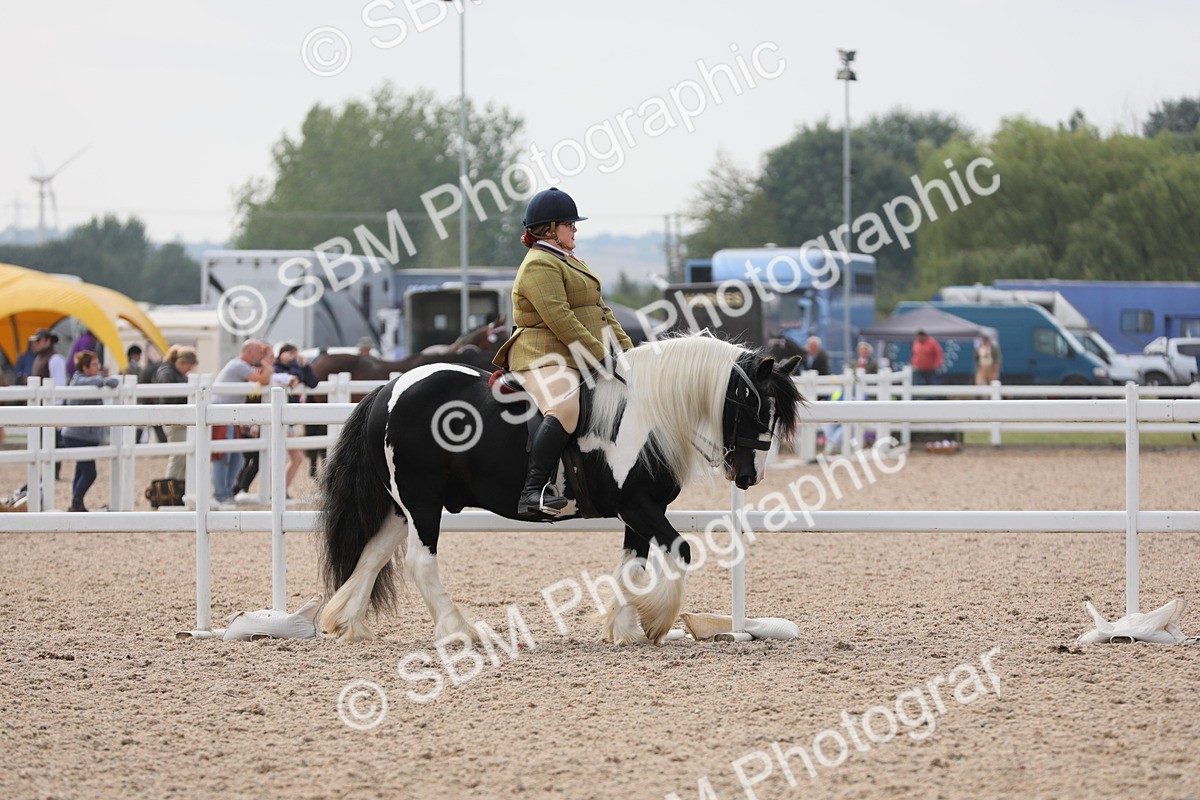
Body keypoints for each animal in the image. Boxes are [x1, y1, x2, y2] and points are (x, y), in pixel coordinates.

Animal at [316, 333, 804, 645]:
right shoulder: (638, 505)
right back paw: (459, 632)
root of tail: (388, 388)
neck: (645, 414)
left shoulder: (638, 512)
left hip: (403, 507)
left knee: (373, 554)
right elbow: (680, 550)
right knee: (420, 563)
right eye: (756, 407)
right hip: (422, 503)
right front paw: (656, 621)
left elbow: (632, 567)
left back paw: (346, 623)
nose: (750, 476)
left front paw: (624, 628)